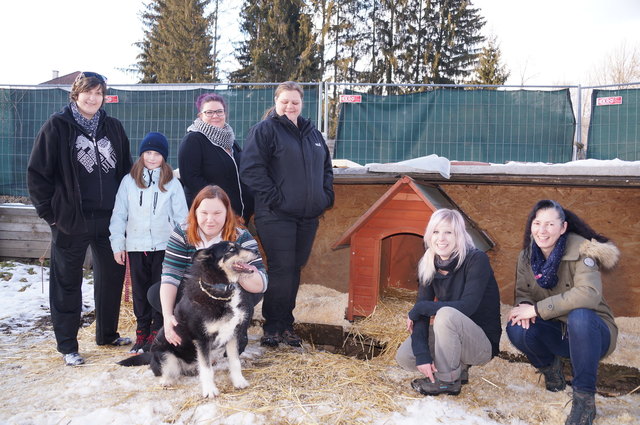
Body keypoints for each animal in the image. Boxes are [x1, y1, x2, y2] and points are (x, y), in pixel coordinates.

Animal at [119, 242, 258, 398]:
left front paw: (239, 381)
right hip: (167, 356)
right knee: (167, 371)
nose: (257, 250)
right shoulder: (202, 339)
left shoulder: (232, 334)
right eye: (231, 249)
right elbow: (206, 369)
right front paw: (209, 390)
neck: (221, 291)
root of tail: (151, 356)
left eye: (239, 244)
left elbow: (235, 362)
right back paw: (166, 381)